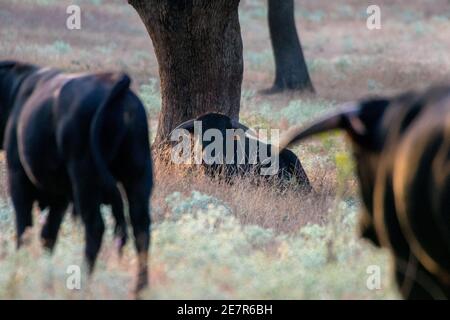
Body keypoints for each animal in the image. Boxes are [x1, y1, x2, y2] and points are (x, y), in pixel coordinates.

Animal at [0, 61, 153, 294]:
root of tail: (115, 83)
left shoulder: (19, 180)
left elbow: (24, 229)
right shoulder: (59, 197)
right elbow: (48, 234)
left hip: (85, 180)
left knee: (95, 227)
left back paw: (83, 284)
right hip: (138, 178)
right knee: (141, 227)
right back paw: (139, 289)